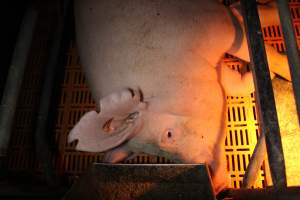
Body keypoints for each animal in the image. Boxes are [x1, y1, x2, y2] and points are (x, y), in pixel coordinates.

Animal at [68, 0, 290, 194]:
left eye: (168, 135)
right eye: (154, 155)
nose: (217, 187)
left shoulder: (220, 27)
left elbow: (268, 58)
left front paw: (279, 72)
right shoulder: (211, 73)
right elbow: (235, 85)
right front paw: (267, 76)